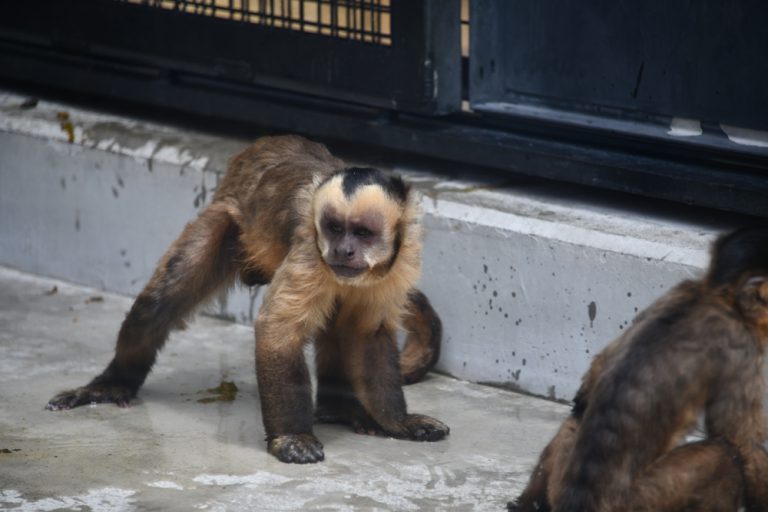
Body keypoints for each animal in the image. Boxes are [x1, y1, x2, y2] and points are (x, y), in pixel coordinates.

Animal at [45, 135, 448, 464]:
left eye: (362, 233)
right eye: (335, 229)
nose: (343, 251)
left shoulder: (400, 264)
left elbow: (368, 334)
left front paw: (396, 420)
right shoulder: (310, 250)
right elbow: (277, 330)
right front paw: (291, 438)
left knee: (338, 322)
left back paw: (339, 410)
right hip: (226, 221)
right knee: (161, 301)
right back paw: (112, 383)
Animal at [510, 227, 768, 512]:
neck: (712, 294)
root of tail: (579, 502)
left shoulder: (676, 290)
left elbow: (594, 376)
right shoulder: (740, 343)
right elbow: (742, 442)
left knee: (577, 415)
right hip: (642, 501)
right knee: (723, 456)